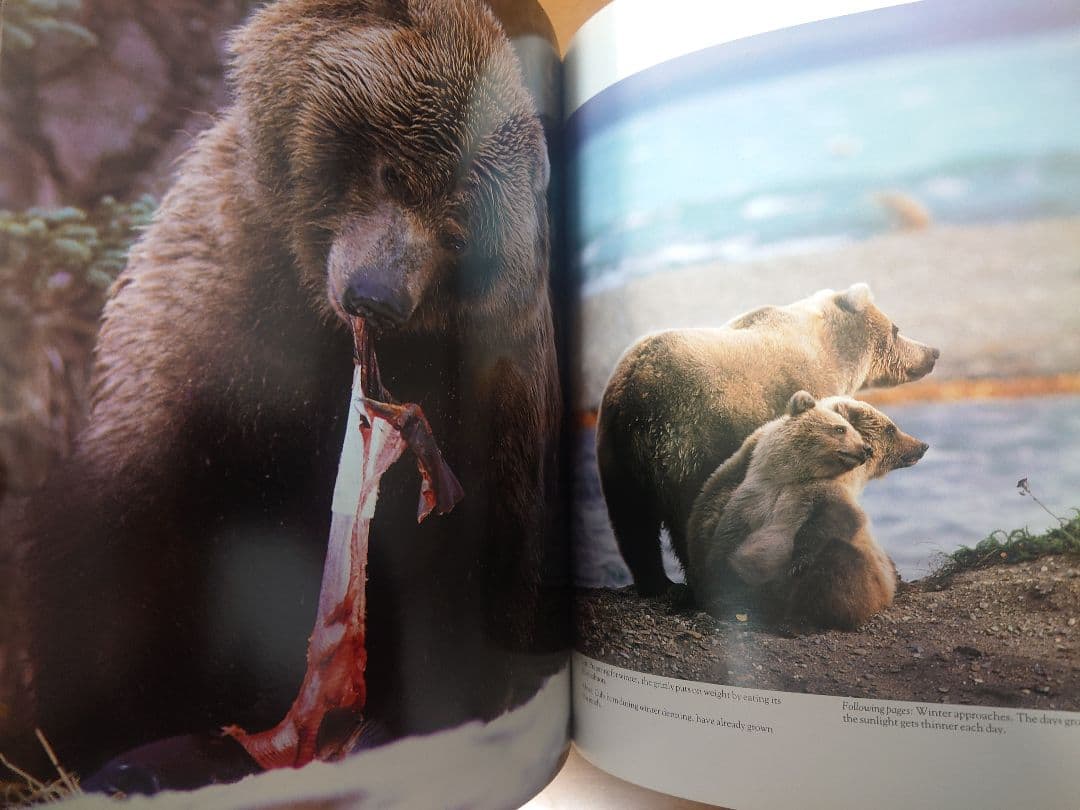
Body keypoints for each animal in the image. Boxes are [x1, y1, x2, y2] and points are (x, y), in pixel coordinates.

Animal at [7, 0, 561, 785]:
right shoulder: (219, 307)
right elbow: (125, 524)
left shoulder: (485, 398)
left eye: (458, 232)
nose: (376, 296)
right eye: (394, 170)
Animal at [596, 282, 938, 596]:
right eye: (896, 329)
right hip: (686, 436)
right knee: (687, 507)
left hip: (617, 454)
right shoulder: (806, 389)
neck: (834, 353)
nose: (933, 353)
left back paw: (657, 583)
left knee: (631, 522)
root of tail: (633, 386)